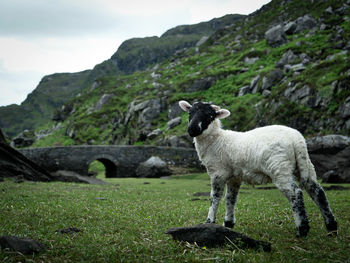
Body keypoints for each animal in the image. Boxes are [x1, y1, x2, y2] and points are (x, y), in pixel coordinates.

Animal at [179, 100, 338, 238]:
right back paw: (331, 227)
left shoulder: (218, 173)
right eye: (190, 113)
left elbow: (215, 197)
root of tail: (297, 140)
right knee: (317, 192)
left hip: (279, 167)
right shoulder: (234, 177)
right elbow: (230, 199)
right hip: (304, 165)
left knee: (296, 193)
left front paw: (209, 221)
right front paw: (228, 223)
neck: (216, 140)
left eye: (209, 116)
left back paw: (302, 230)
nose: (192, 129)